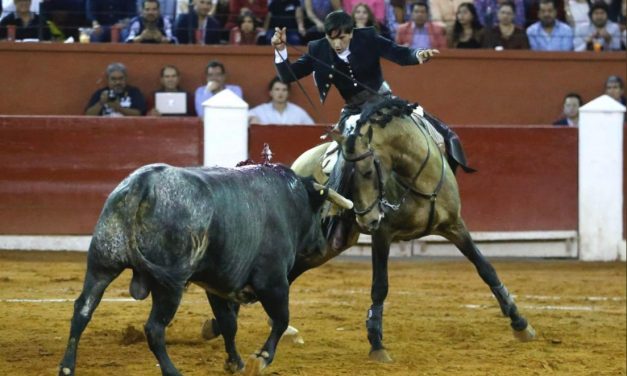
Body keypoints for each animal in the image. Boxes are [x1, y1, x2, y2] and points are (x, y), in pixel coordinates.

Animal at [57, 162, 354, 376]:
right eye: (318, 210)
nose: (321, 245)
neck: (288, 199)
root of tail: (143, 183)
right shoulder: (272, 282)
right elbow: (281, 319)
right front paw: (260, 359)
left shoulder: (217, 283)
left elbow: (228, 324)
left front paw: (235, 363)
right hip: (169, 285)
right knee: (154, 328)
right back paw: (172, 372)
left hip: (102, 264)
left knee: (82, 310)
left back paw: (67, 367)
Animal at [290, 98, 536, 362]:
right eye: (344, 176)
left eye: (367, 172)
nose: (367, 221)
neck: (417, 178)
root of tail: (298, 164)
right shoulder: (382, 234)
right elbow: (380, 286)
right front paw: (377, 343)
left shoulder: (455, 225)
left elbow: (485, 268)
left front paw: (520, 323)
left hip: (333, 243)